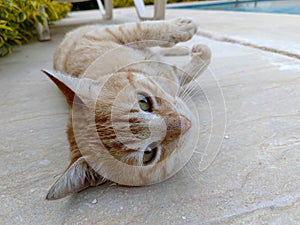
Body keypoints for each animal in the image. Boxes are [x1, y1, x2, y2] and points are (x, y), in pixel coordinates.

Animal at [42, 18, 211, 200]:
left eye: (144, 102)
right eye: (148, 154)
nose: (185, 123)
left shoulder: (101, 35)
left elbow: (140, 29)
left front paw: (183, 29)